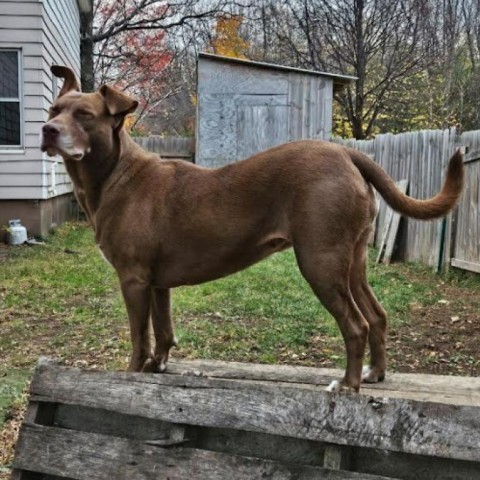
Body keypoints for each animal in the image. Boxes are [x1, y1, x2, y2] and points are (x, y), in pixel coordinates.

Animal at [42, 65, 464, 392]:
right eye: (54, 109)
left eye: (85, 115)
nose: (47, 129)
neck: (115, 175)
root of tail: (346, 153)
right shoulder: (158, 282)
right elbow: (163, 331)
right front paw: (156, 368)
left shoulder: (133, 279)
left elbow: (138, 338)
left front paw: (131, 374)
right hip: (352, 259)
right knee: (376, 315)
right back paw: (374, 373)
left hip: (320, 261)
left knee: (356, 324)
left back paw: (348, 385)